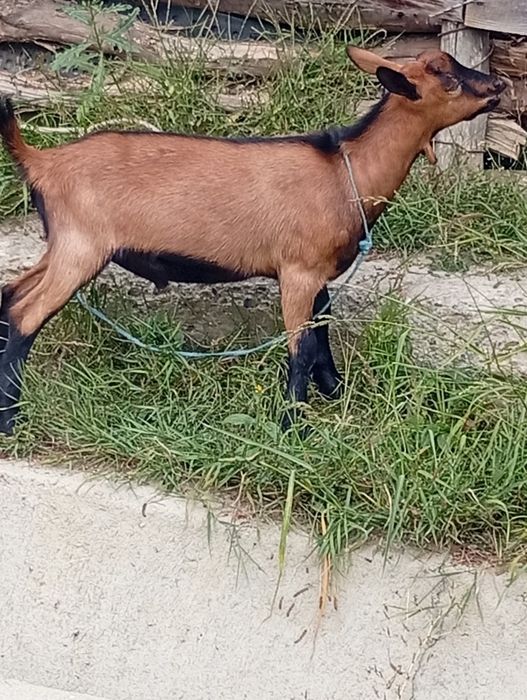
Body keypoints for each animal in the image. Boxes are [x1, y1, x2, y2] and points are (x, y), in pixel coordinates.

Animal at [0, 46, 505, 435]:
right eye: (448, 80)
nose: (498, 85)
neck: (346, 171)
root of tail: (42, 161)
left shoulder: (319, 275)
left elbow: (323, 330)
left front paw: (334, 395)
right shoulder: (297, 272)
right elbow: (301, 349)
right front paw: (293, 429)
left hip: (62, 245)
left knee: (10, 295)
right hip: (81, 248)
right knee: (27, 315)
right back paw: (11, 421)